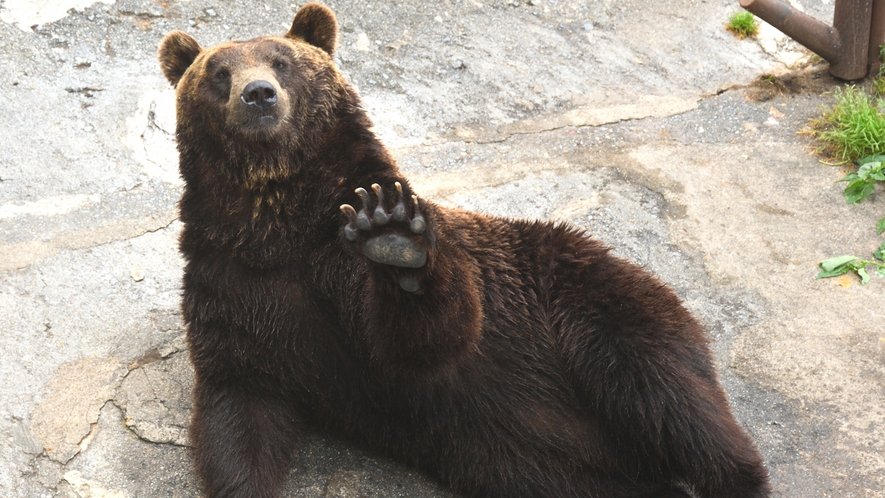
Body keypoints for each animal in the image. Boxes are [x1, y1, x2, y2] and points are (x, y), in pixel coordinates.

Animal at [159, 4, 772, 498]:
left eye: (282, 61)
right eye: (218, 72)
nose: (258, 95)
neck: (278, 216)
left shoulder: (350, 258)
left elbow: (429, 334)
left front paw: (395, 242)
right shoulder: (237, 286)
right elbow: (239, 408)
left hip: (584, 299)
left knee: (672, 396)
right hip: (527, 460)